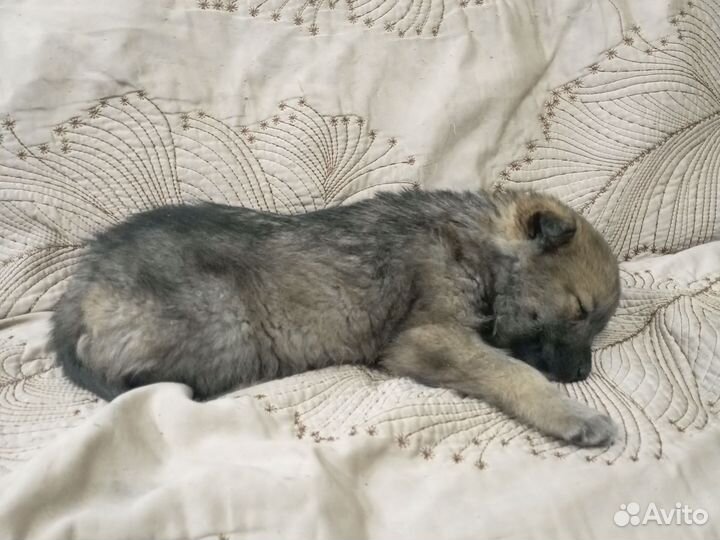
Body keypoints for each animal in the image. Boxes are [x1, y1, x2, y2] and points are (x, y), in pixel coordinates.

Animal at [52, 190, 620, 448]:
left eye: (598, 322)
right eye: (580, 310)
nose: (581, 376)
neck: (477, 246)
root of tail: (81, 285)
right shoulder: (427, 337)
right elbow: (513, 371)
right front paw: (573, 415)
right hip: (225, 324)